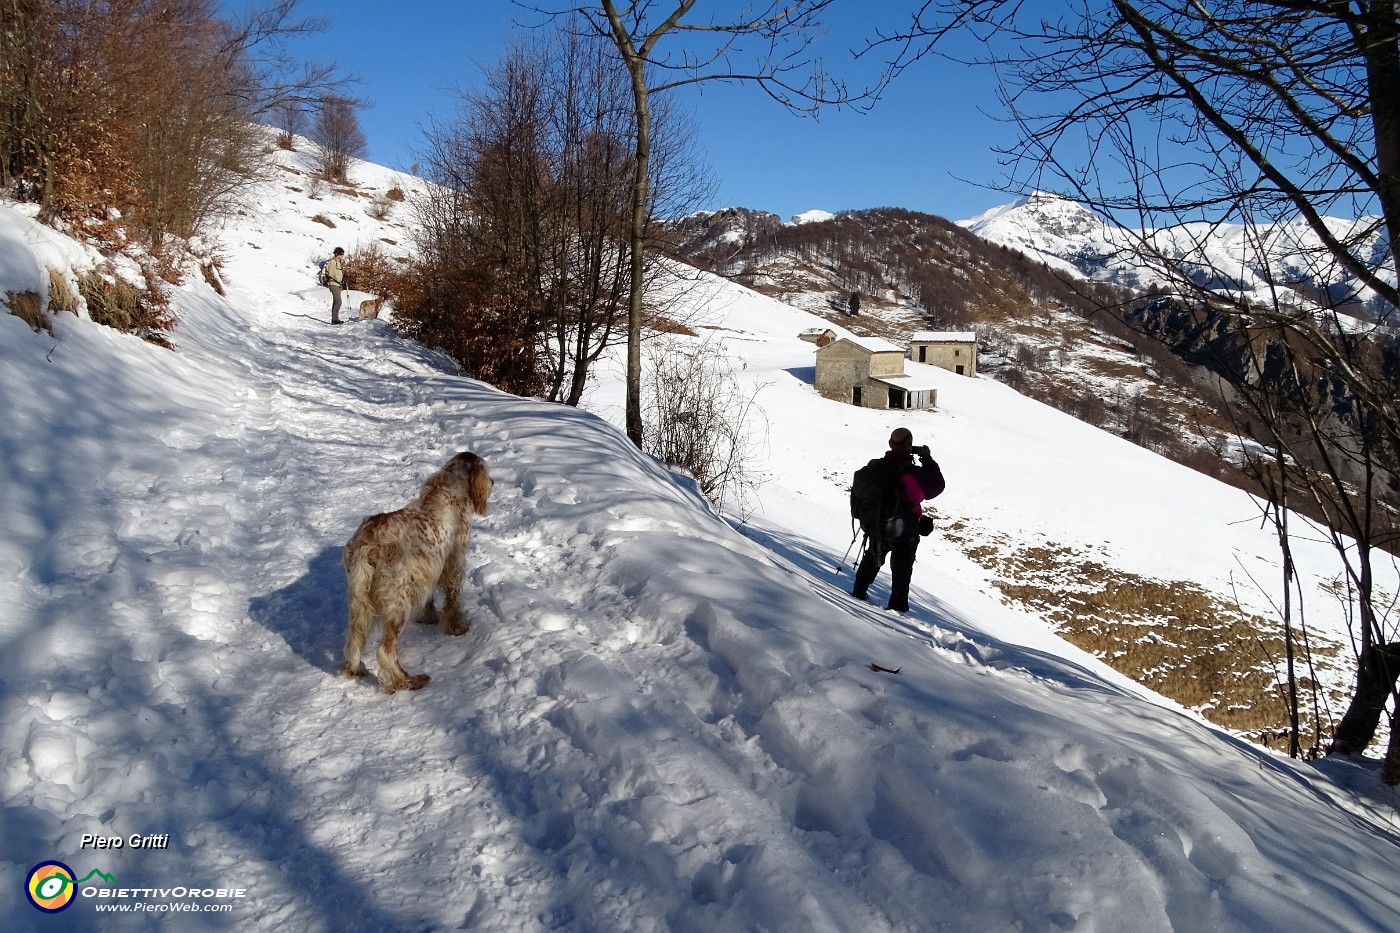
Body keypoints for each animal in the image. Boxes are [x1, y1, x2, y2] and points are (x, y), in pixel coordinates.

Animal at [338, 451, 492, 689]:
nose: (493, 482)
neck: (448, 486)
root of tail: (367, 542)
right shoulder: (454, 562)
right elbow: (453, 599)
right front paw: (457, 626)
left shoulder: (426, 571)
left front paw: (429, 616)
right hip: (398, 605)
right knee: (385, 651)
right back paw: (405, 681)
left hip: (359, 600)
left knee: (354, 641)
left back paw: (357, 670)